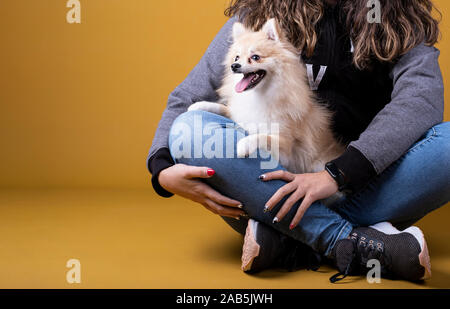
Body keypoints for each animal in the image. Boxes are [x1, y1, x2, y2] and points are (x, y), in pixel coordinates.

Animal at [188, 18, 342, 174]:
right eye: (236, 57)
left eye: (255, 57)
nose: (234, 66)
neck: (258, 95)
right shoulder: (240, 115)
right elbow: (224, 108)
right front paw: (200, 105)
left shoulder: (286, 151)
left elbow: (263, 137)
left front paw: (245, 144)